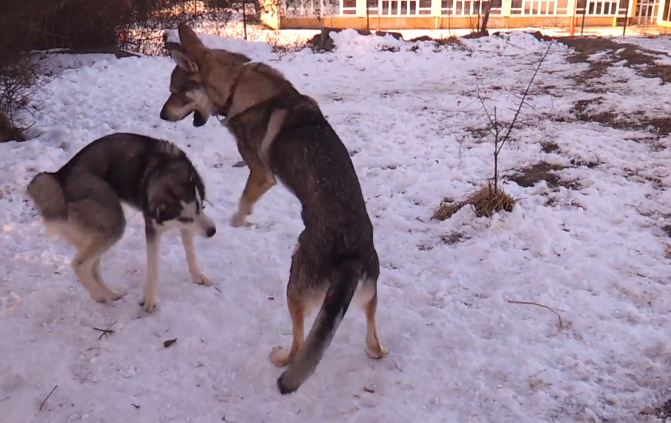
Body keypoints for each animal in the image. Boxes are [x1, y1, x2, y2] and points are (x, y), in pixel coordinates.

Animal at [25, 132, 215, 312]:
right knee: (79, 264)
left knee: (93, 268)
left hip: (96, 233)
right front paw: (149, 300)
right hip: (113, 225)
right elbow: (153, 269)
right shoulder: (154, 229)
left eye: (200, 207)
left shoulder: (189, 226)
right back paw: (98, 294)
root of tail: (59, 177)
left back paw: (110, 294)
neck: (165, 169)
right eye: (185, 217)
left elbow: (190, 253)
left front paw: (198, 276)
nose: (212, 231)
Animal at [159, 22, 388, 394]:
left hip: (294, 291)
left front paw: (238, 222)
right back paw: (376, 350)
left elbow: (243, 202)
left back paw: (281, 359)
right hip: (368, 297)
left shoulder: (261, 174)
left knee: (299, 347)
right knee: (371, 334)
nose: (162, 115)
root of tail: (351, 257)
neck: (235, 85)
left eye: (176, 93)